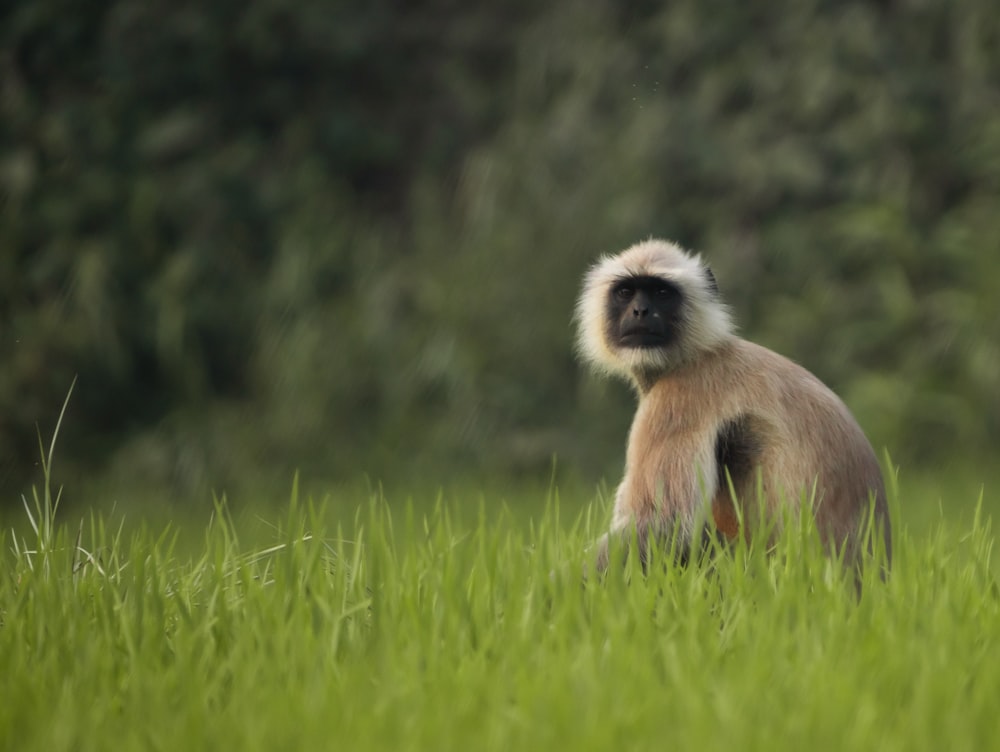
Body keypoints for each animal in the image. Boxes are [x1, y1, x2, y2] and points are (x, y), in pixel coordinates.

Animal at [580, 238, 892, 572]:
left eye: (662, 293)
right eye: (626, 292)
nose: (640, 310)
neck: (698, 353)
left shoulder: (680, 395)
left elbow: (666, 523)